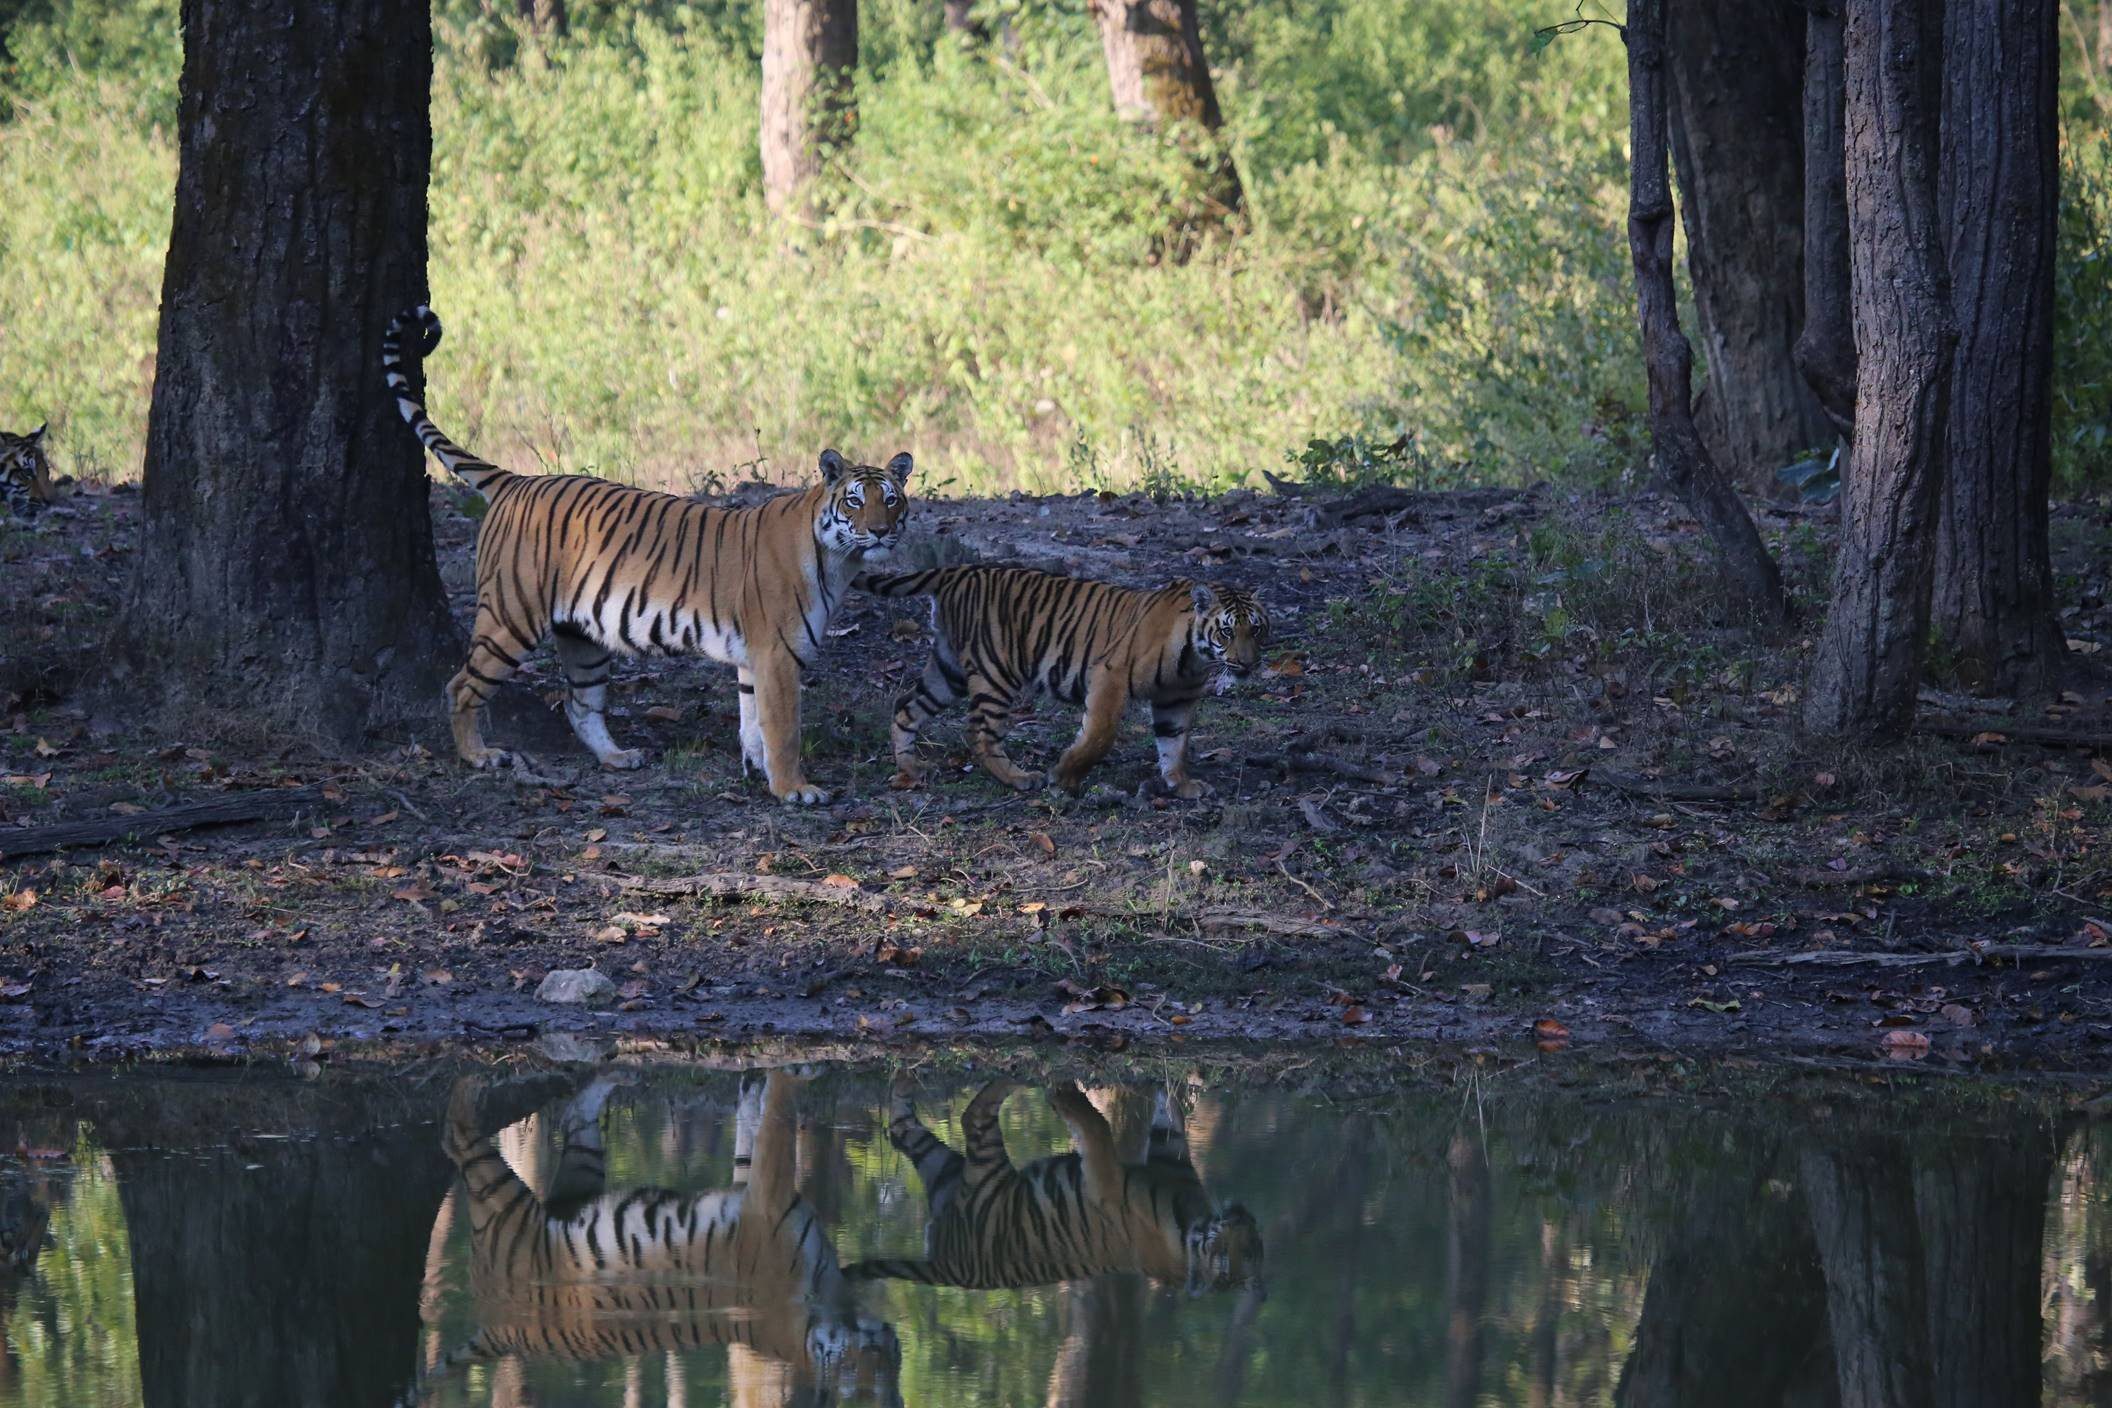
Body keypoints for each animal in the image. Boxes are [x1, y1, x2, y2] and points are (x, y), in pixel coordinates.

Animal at [382, 306, 908, 802]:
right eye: (855, 501)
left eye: (892, 499)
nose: (881, 532)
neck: (839, 560)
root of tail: (517, 480)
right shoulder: (777, 654)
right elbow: (783, 728)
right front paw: (794, 789)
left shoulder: (754, 658)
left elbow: (752, 720)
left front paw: (757, 772)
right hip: (511, 615)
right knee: (460, 686)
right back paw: (479, 755)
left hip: (582, 637)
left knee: (579, 704)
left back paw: (617, 758)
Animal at [407, 1068, 903, 1408]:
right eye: (872, 1366)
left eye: (893, 1360)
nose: (889, 1341)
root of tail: (499, 1328)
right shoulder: (767, 1198)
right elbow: (779, 1118)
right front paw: (786, 1071)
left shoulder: (756, 1192)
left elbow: (757, 1135)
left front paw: (757, 1087)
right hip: (506, 1202)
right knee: (456, 1137)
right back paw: (470, 1089)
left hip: (577, 1176)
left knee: (571, 1116)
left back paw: (604, 1073)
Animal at [840, 1080, 1258, 1300]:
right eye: (1231, 1251)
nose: (1239, 1216)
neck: (1190, 1227)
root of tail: (952, 1270)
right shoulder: (1163, 1156)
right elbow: (1163, 1114)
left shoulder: (1108, 1183)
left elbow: (1098, 1129)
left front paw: (1065, 1098)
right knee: (908, 1126)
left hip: (976, 1172)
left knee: (969, 1114)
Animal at [857, 565, 1267, 797]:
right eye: (1227, 632)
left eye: (1257, 629)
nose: (1248, 663)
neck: (1195, 657)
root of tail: (956, 571)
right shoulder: (1110, 675)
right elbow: (1099, 735)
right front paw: (1063, 778)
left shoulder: (1176, 699)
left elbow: (1174, 744)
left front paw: (1181, 784)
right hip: (996, 671)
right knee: (978, 732)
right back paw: (1019, 778)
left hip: (948, 671)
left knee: (905, 708)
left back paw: (911, 769)